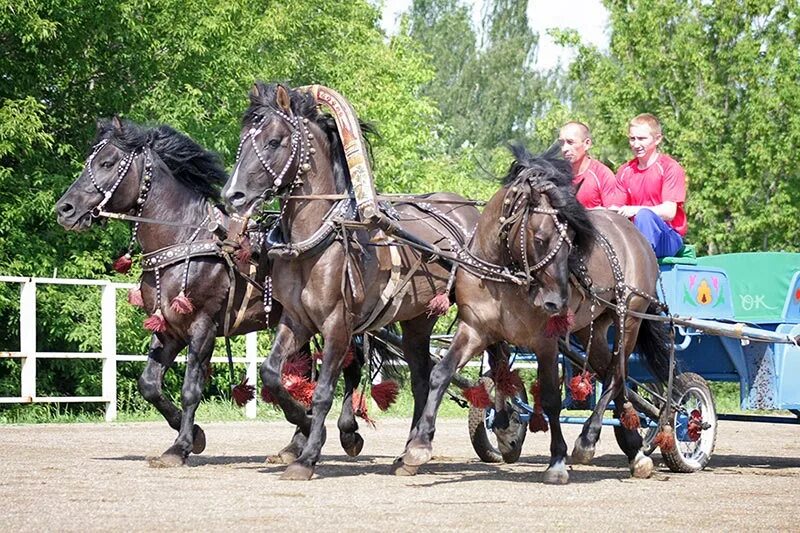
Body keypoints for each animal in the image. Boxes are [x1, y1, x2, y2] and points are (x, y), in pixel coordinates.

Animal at [222, 82, 478, 478]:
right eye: (242, 139)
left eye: (274, 141)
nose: (232, 195)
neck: (319, 240)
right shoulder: (296, 320)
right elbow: (271, 373)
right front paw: (302, 424)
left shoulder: (337, 324)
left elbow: (324, 389)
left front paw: (309, 454)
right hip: (418, 318)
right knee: (422, 376)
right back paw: (410, 451)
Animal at [400, 143, 668, 484]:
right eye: (540, 239)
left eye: (573, 241)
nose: (557, 302)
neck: (504, 275)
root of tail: (631, 232)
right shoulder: (475, 329)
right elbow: (441, 374)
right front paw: (417, 446)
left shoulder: (545, 342)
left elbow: (552, 398)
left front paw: (557, 460)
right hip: (591, 328)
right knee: (612, 372)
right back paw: (634, 450)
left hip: (629, 319)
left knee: (616, 376)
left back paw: (588, 439)